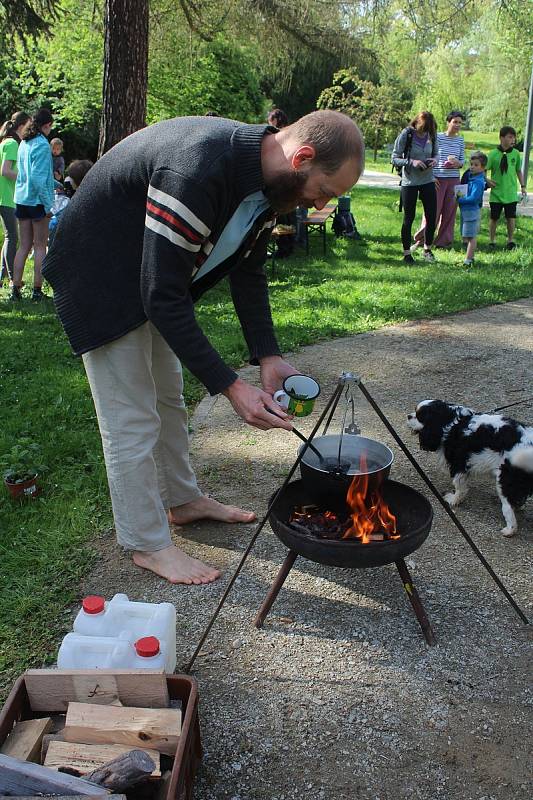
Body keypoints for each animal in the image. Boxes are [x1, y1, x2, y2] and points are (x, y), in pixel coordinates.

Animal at [408, 400, 532, 536]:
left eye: (419, 416)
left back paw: (510, 529)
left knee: (508, 506)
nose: (408, 416)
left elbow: (459, 487)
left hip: (505, 478)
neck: (451, 422)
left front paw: (454, 499)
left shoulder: (458, 464)